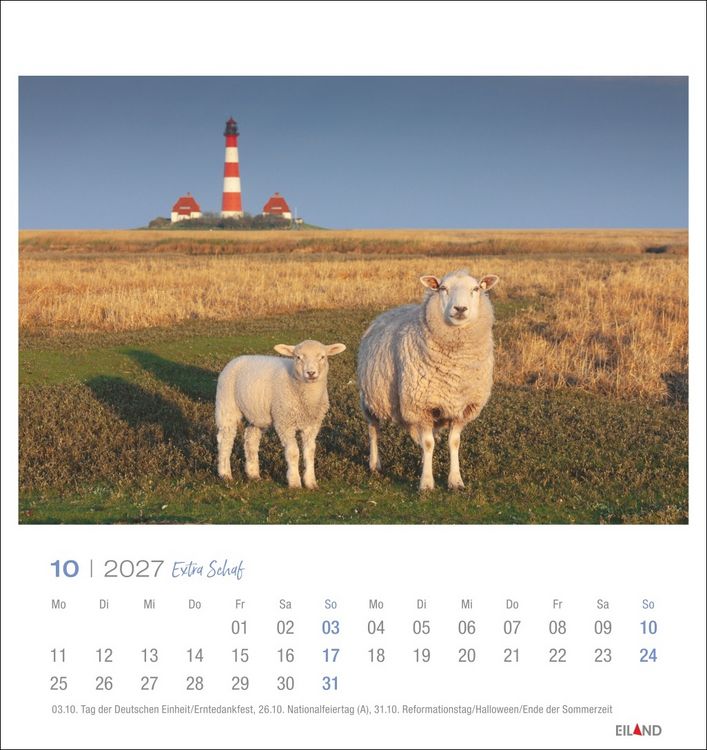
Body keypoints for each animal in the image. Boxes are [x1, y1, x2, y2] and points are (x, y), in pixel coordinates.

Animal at [216, 339, 346, 489]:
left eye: (322, 357)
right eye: (298, 357)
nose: (311, 373)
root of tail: (237, 359)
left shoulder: (312, 425)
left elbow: (309, 452)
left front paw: (311, 482)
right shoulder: (284, 423)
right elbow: (293, 452)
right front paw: (294, 482)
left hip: (258, 414)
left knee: (251, 439)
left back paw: (253, 474)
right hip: (226, 405)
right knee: (225, 439)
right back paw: (225, 474)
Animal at [357, 269, 499, 491]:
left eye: (476, 288)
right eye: (443, 288)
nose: (460, 309)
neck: (455, 366)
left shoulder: (461, 408)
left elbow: (453, 443)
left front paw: (455, 480)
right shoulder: (421, 406)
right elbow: (429, 444)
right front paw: (426, 482)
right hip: (370, 398)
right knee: (373, 429)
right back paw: (374, 463)